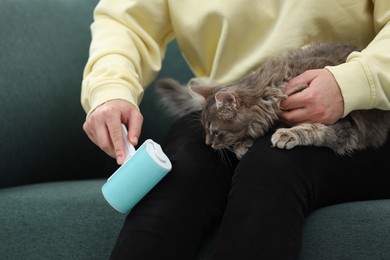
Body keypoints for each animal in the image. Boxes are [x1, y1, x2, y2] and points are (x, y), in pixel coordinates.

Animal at [155, 41, 390, 158]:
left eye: (214, 131)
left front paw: (286, 134)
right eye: (206, 130)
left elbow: (313, 129)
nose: (208, 144)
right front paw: (241, 145)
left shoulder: (344, 127)